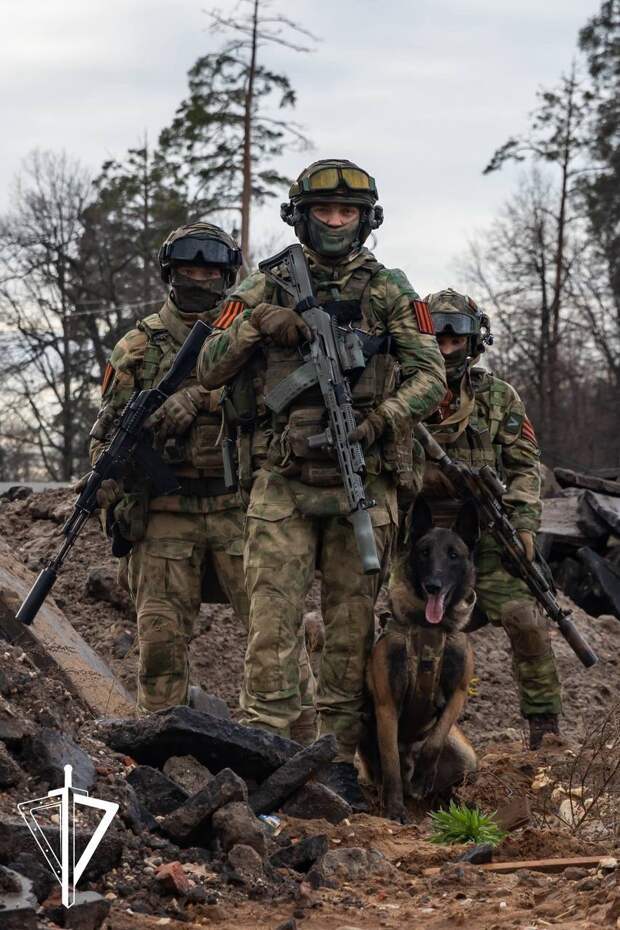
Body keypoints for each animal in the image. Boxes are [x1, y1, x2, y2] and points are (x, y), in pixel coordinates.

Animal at [359, 496, 479, 823]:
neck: (429, 629)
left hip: (466, 756)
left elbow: (434, 742)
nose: (433, 586)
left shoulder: (458, 693)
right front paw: (395, 808)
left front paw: (423, 778)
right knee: (383, 769)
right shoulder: (386, 705)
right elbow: (390, 763)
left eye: (453, 555)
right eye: (424, 552)